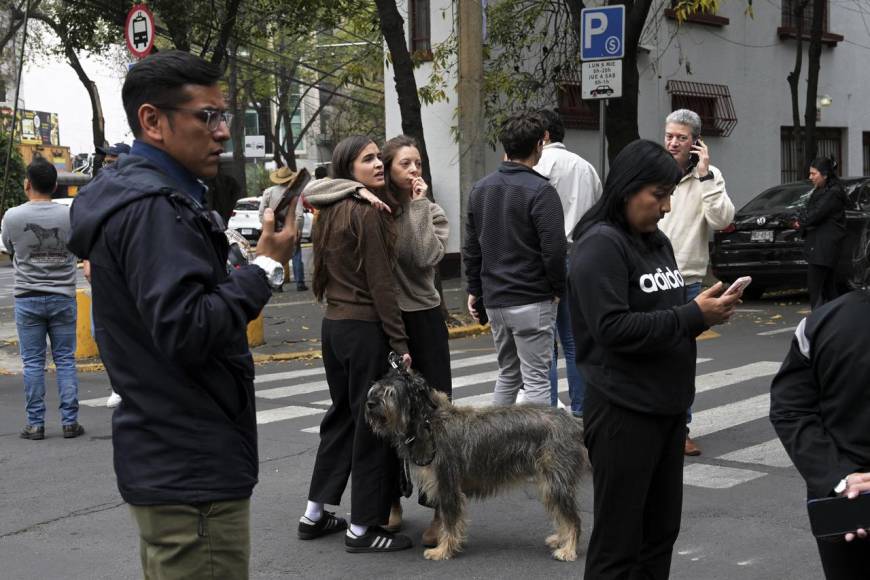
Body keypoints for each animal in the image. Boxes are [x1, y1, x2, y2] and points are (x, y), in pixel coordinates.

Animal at [364, 364, 588, 560]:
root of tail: (572, 422)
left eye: (391, 393)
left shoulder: (447, 485)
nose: (370, 404)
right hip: (550, 485)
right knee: (563, 514)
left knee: (573, 519)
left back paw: (568, 549)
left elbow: (450, 521)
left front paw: (442, 550)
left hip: (556, 483)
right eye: (375, 389)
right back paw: (561, 539)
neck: (428, 422)